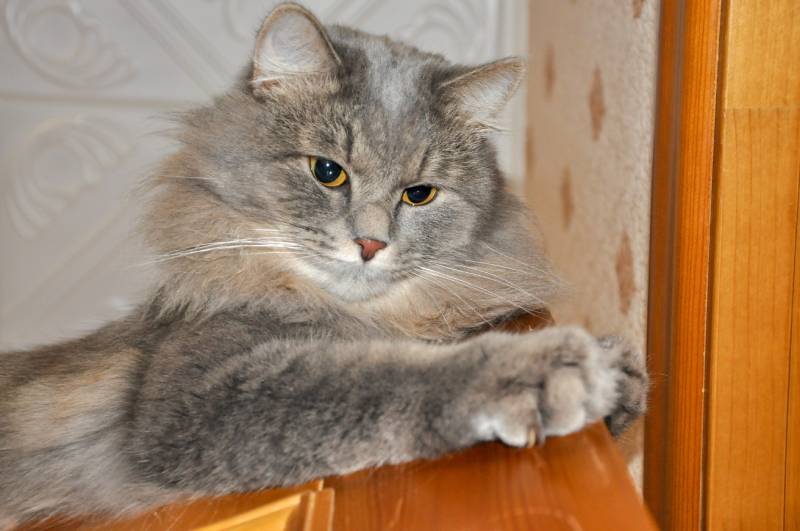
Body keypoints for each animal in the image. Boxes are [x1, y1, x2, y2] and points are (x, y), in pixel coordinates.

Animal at [0, 3, 648, 528]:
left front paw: (622, 374)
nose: (370, 244)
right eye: (327, 171)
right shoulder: (197, 395)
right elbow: (381, 376)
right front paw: (550, 368)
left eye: (419, 194)